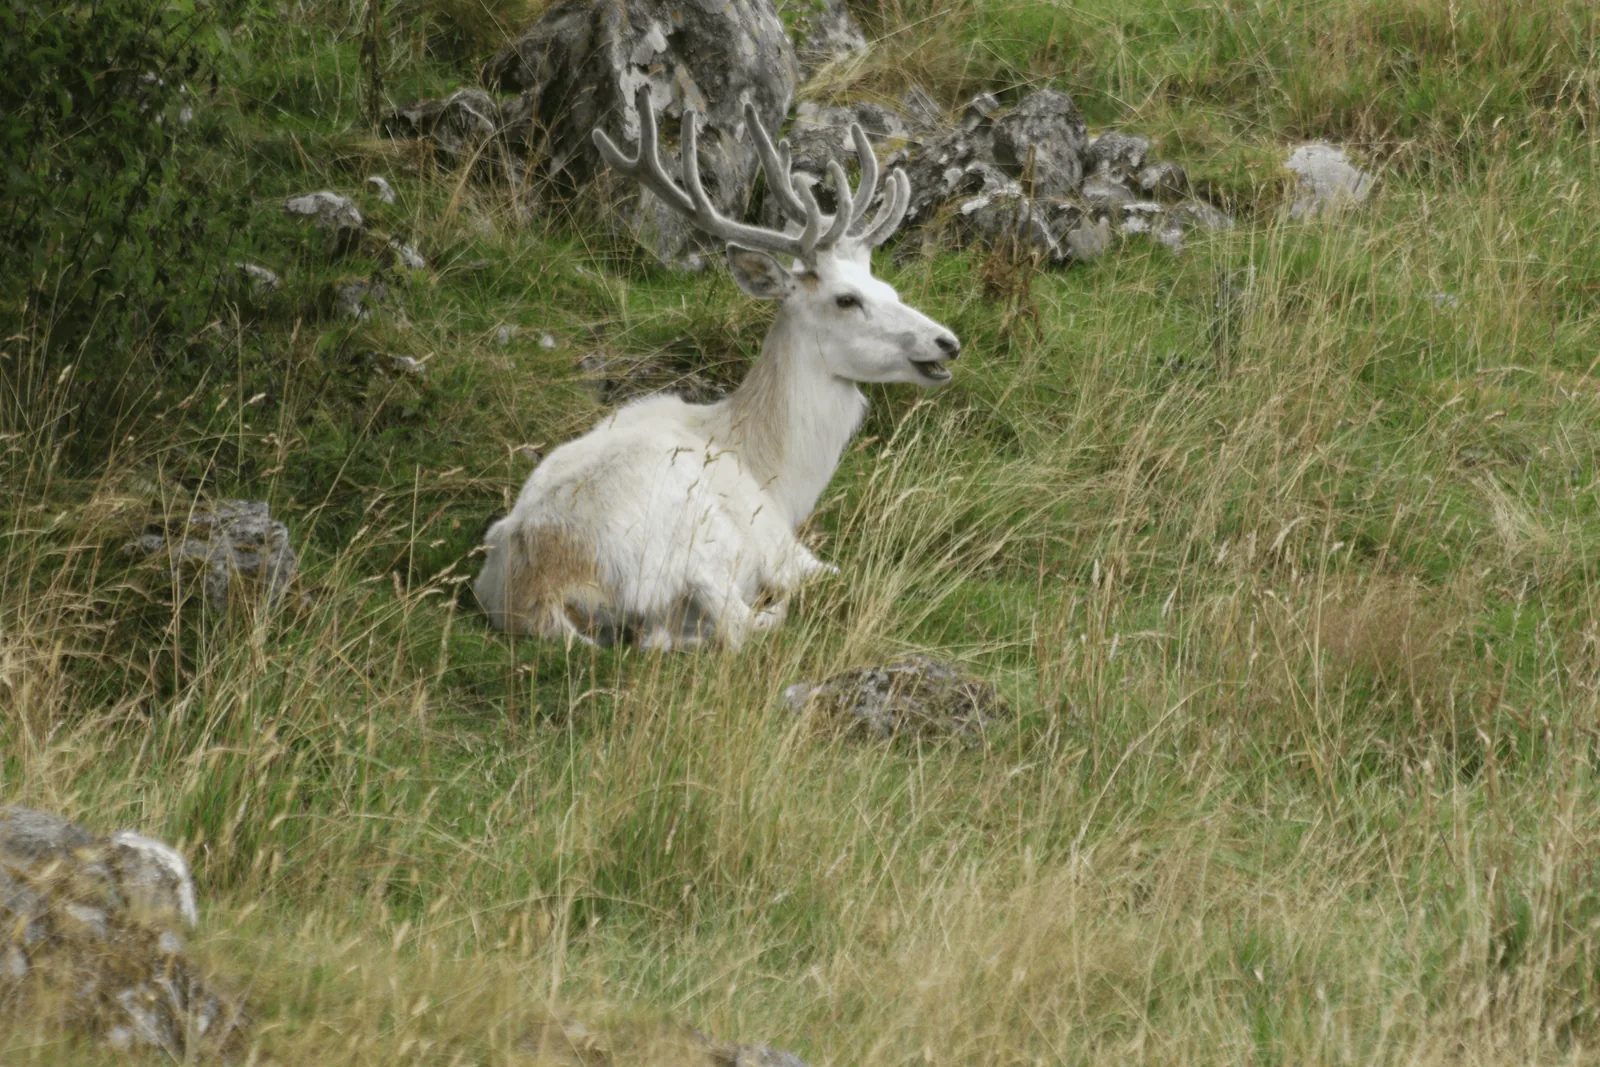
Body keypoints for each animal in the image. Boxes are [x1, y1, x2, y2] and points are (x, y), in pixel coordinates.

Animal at [473, 87, 961, 650]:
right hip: (688, 550)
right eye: (846, 299)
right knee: (736, 626)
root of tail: (542, 591)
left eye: (890, 290)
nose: (948, 342)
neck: (774, 473)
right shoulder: (779, 545)